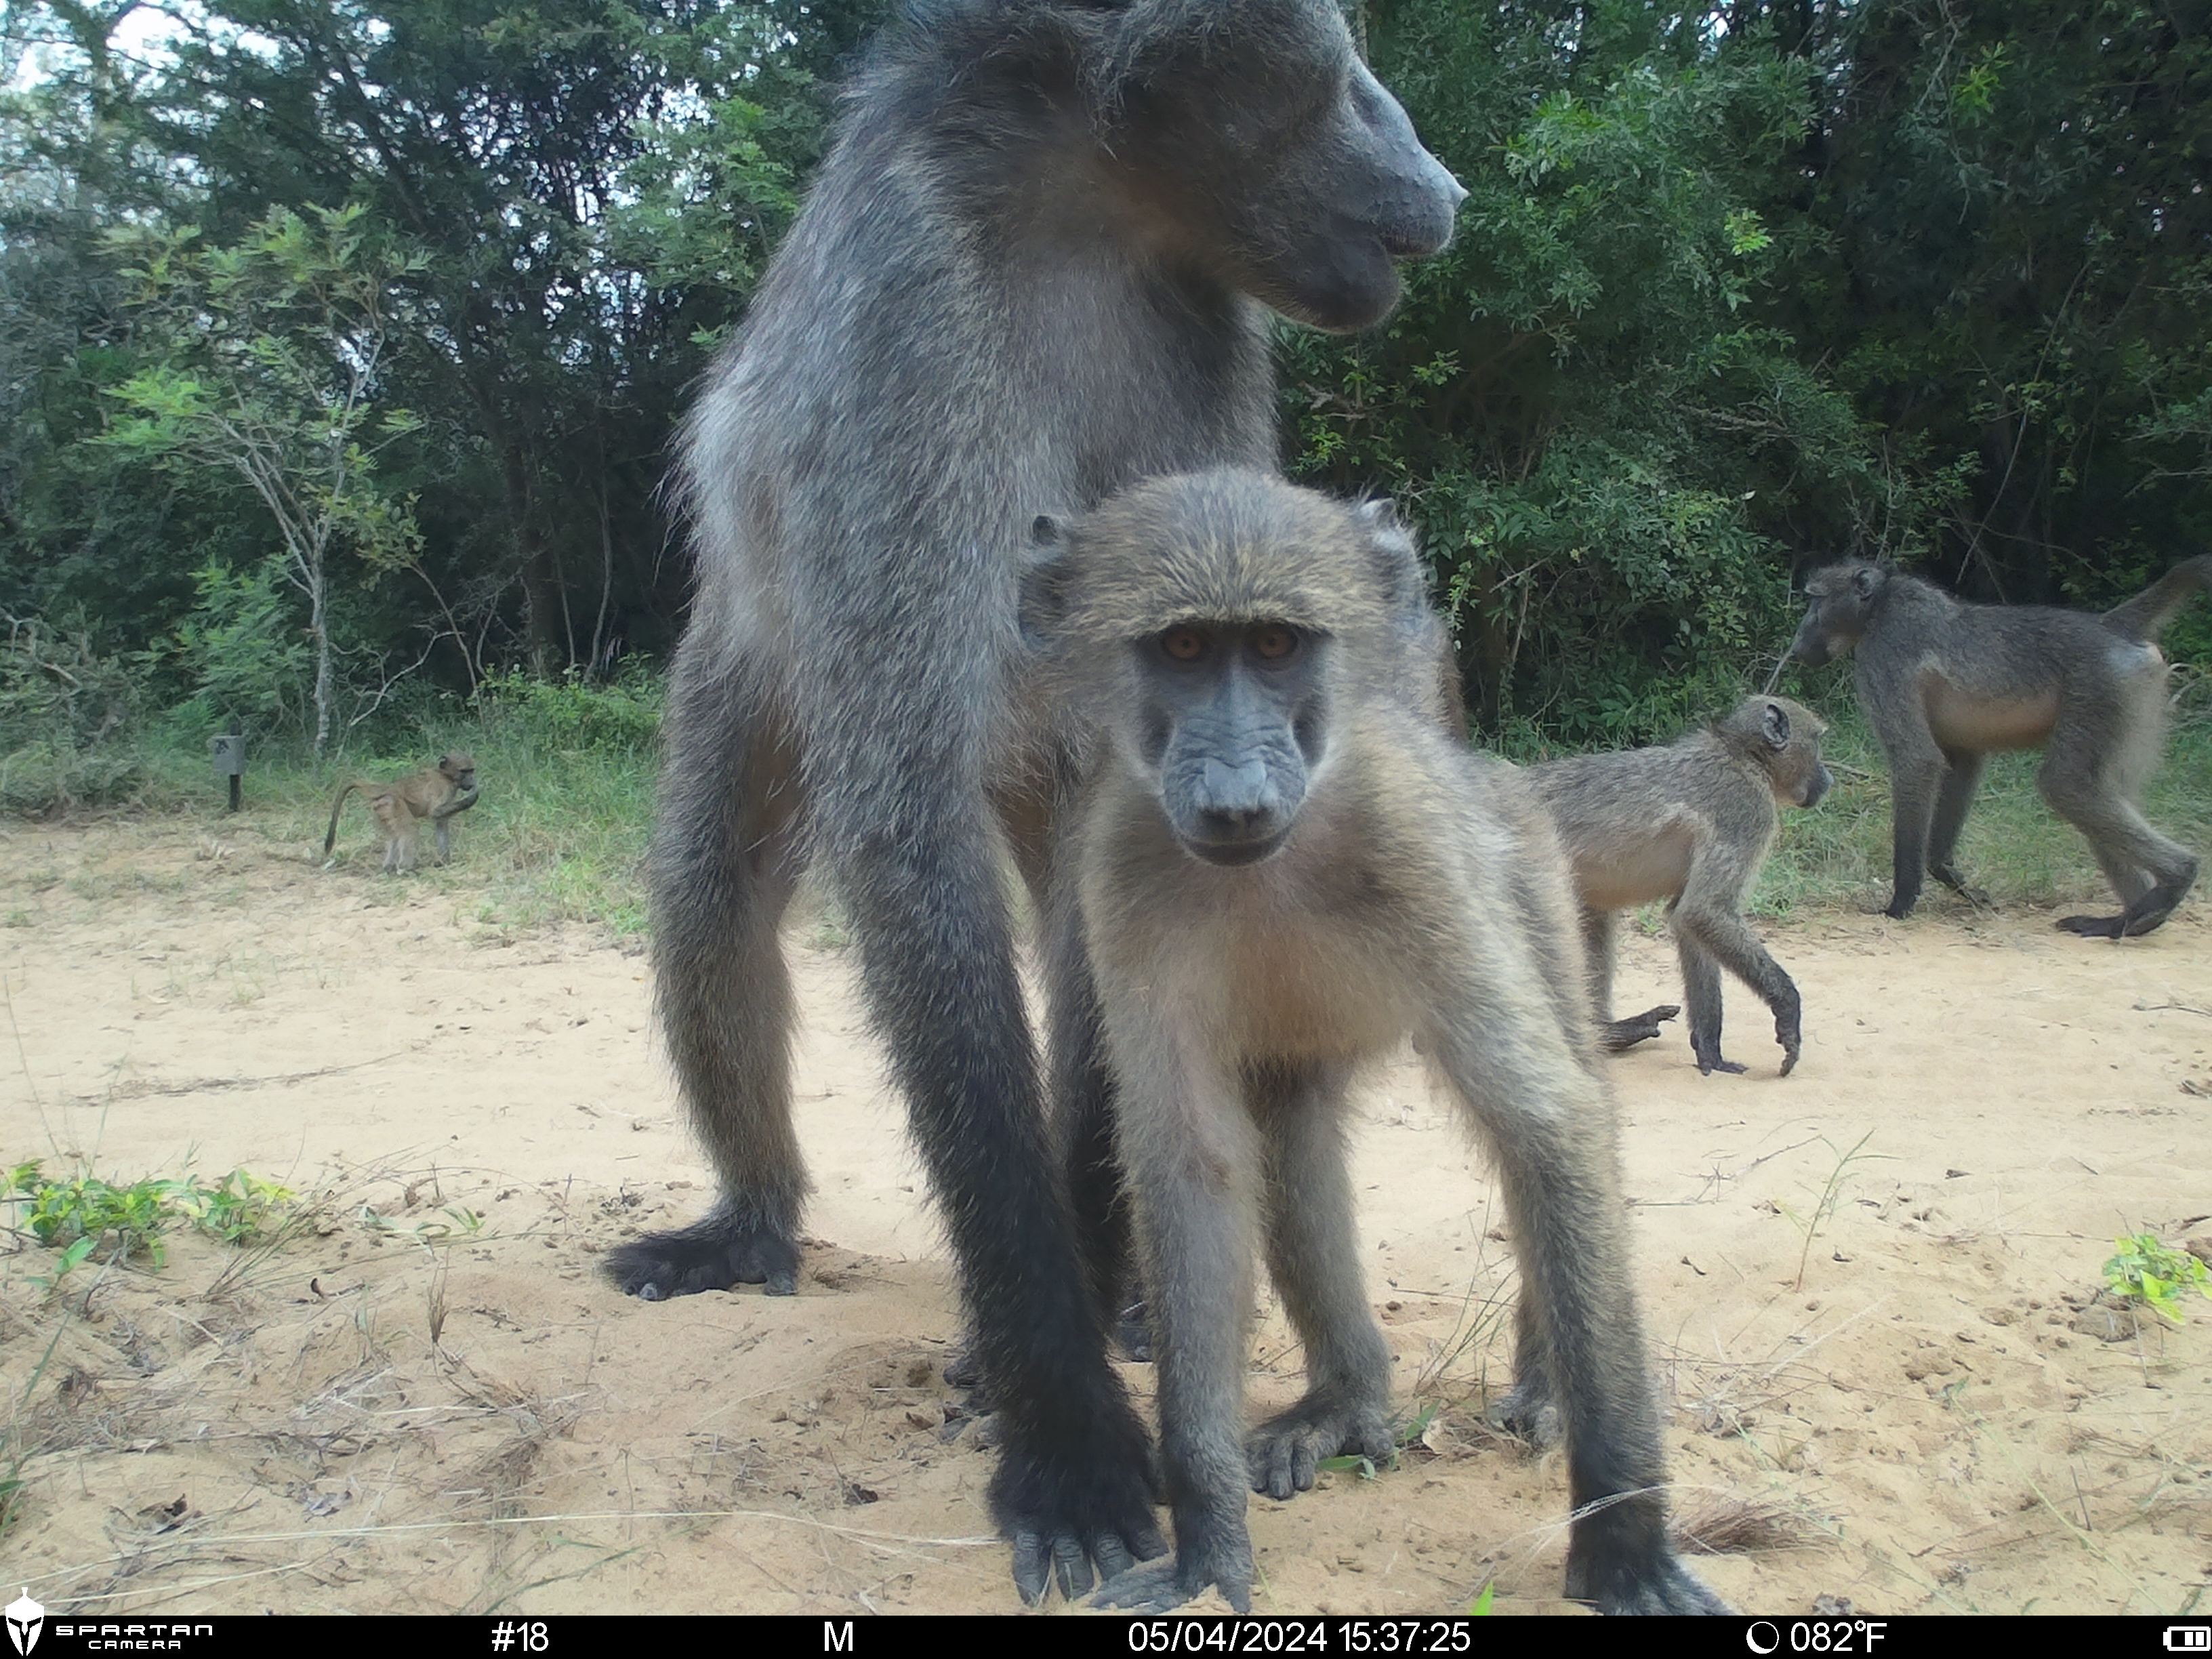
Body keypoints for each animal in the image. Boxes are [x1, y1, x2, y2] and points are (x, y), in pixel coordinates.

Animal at [322, 752, 478, 874]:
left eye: (471, 771)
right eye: (464, 771)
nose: (472, 782)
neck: (446, 775)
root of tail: (389, 789)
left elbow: (440, 822)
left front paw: (444, 862)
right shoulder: (444, 789)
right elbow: (436, 812)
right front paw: (471, 799)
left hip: (382, 808)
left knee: (394, 836)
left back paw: (388, 868)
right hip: (395, 805)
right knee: (410, 829)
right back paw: (405, 869)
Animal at [605, 0, 1465, 1604]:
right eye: (1342, 79)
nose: (1440, 186)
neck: (1088, 192)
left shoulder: (1206, 344)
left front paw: (1092, 1333)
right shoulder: (909, 303)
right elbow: (905, 825)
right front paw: (1063, 1435)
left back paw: (1113, 1281)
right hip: (758, 655)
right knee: (714, 893)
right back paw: (754, 1228)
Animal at [1020, 468, 1727, 1615]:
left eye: (1275, 645)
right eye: (1183, 648)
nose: (1235, 798)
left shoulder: (1416, 844)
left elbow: (1548, 1123)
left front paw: (1626, 1544)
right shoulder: (1119, 872)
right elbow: (1195, 1172)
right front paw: (1208, 1537)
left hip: (1532, 876)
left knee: (1566, 1109)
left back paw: (1544, 1386)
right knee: (1291, 1129)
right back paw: (1346, 1405)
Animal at [1527, 698, 1831, 1077]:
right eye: (1818, 742)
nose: (1829, 778)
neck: (1743, 758)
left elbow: (1687, 918)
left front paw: (1710, 1050)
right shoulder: (1747, 810)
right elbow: (1705, 910)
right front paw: (1788, 1012)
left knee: (1596, 915)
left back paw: (1607, 1034)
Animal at [1789, 556, 2210, 937]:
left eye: (1815, 601)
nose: (1797, 642)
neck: (1880, 605)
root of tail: (2110, 626)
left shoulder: (1883, 654)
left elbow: (1917, 760)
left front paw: (1901, 902)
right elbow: (1962, 761)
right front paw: (1953, 878)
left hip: (2104, 688)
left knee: (2069, 786)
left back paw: (2171, 886)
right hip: (2131, 700)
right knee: (2101, 791)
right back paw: (2130, 920)